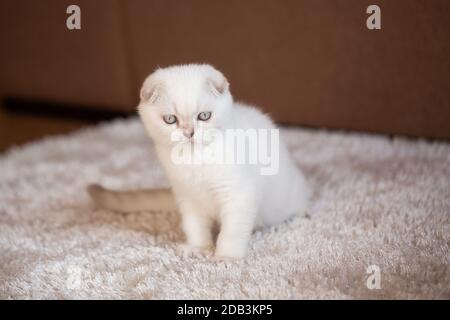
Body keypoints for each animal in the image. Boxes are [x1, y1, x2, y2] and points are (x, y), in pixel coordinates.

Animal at [89, 63, 312, 258]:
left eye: (204, 116)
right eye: (170, 119)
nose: (189, 132)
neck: (194, 160)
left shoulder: (238, 194)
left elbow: (231, 231)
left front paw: (227, 257)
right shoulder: (187, 196)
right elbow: (194, 225)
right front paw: (199, 248)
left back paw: (303, 214)